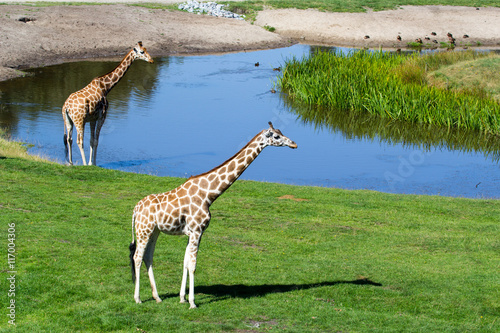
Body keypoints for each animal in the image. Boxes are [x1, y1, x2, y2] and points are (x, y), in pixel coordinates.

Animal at [129, 122, 296, 308]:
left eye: (281, 132)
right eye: (276, 136)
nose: (294, 144)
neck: (209, 195)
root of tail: (135, 209)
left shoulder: (194, 232)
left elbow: (185, 262)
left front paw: (182, 298)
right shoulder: (196, 230)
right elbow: (193, 265)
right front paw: (192, 303)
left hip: (154, 231)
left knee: (148, 257)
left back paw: (157, 296)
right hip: (143, 230)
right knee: (137, 257)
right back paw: (137, 298)